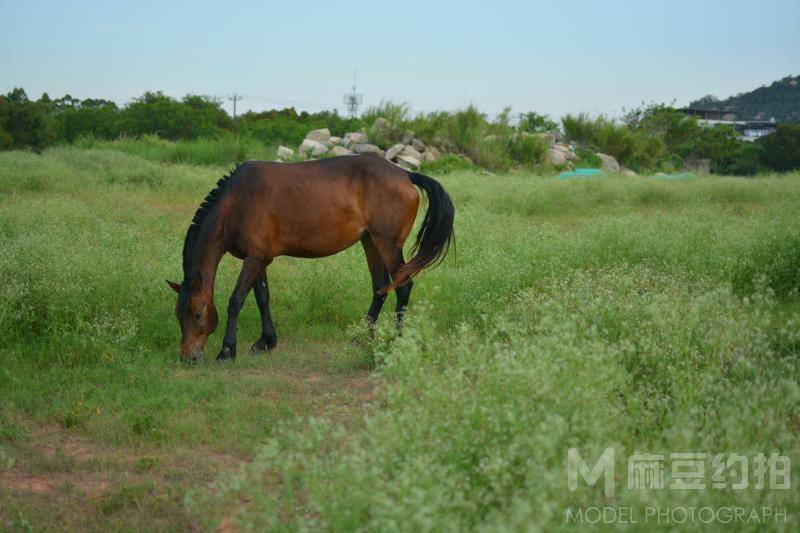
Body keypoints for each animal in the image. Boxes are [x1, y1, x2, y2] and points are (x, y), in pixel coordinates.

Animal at [167, 154, 456, 362]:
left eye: (197, 314)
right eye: (178, 315)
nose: (188, 358)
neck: (238, 203)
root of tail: (406, 174)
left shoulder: (254, 259)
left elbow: (236, 300)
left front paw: (227, 351)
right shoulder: (259, 259)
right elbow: (262, 297)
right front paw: (266, 341)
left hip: (388, 244)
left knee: (403, 286)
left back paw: (396, 340)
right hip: (370, 242)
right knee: (380, 287)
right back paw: (362, 336)